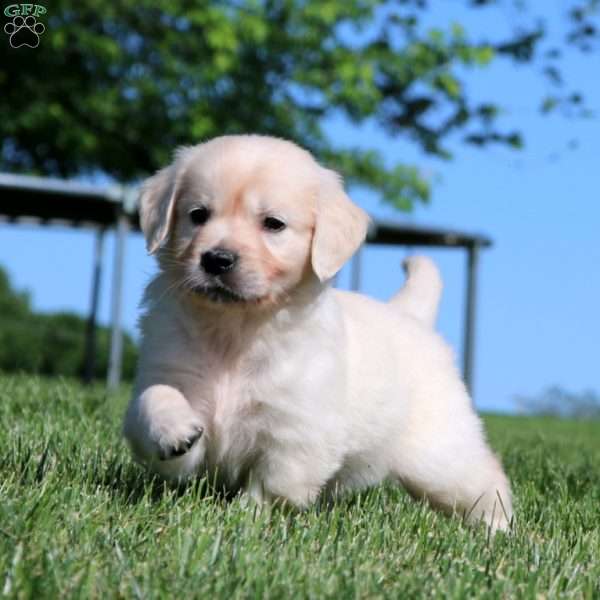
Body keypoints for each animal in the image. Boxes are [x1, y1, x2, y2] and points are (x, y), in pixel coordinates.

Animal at [124, 135, 512, 528]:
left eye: (273, 224)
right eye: (198, 215)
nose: (216, 259)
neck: (236, 328)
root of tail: (409, 315)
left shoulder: (296, 427)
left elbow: (272, 484)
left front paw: (247, 519)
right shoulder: (170, 374)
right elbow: (153, 399)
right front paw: (173, 431)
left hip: (439, 455)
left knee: (486, 481)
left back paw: (497, 529)